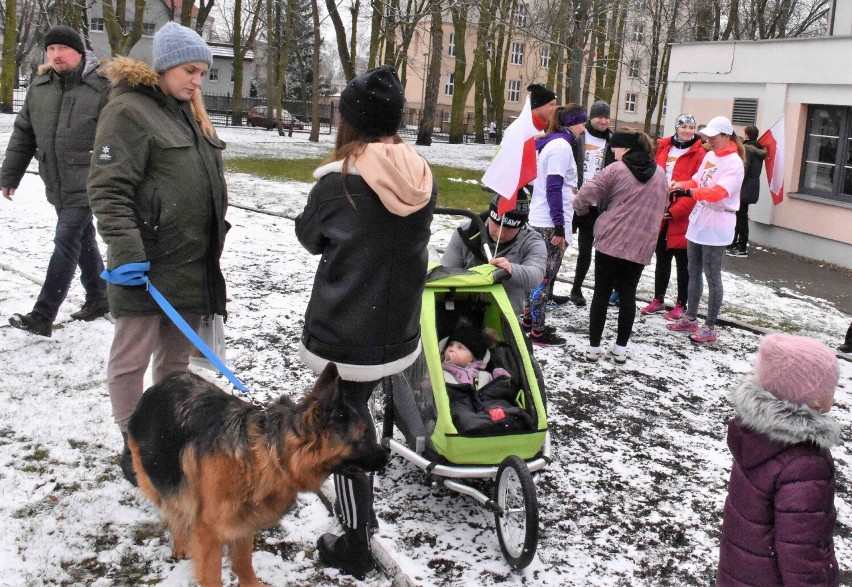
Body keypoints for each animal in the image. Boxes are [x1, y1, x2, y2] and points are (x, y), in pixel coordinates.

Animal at [127, 362, 390, 587]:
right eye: (364, 434)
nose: (387, 454)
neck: (270, 455)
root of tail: (164, 381)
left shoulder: (243, 521)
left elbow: (244, 564)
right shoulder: (210, 533)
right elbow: (212, 574)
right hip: (157, 479)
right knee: (173, 507)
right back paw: (180, 540)